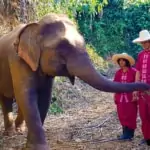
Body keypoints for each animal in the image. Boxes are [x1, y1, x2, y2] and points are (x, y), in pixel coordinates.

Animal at [0, 13, 150, 149]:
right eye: (62, 46)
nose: (147, 87)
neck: (36, 25)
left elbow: (44, 98)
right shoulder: (17, 61)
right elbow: (27, 96)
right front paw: (37, 147)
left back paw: (19, 131)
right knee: (7, 100)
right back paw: (10, 133)